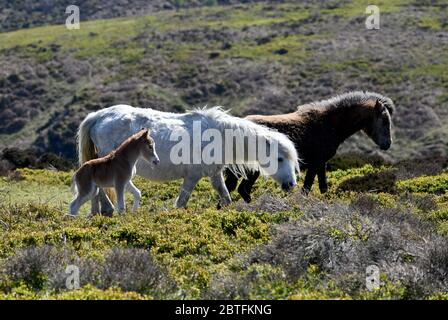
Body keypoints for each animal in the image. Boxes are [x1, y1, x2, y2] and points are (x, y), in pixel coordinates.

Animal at [78, 104, 300, 211]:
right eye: (280, 159)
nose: (291, 184)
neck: (219, 136)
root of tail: (98, 116)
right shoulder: (192, 176)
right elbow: (181, 202)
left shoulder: (214, 174)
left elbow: (225, 197)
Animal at [226, 91, 394, 201]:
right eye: (385, 120)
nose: (387, 144)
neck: (329, 124)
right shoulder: (315, 164)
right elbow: (306, 189)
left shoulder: (321, 164)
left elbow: (323, 188)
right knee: (238, 189)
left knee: (237, 190)